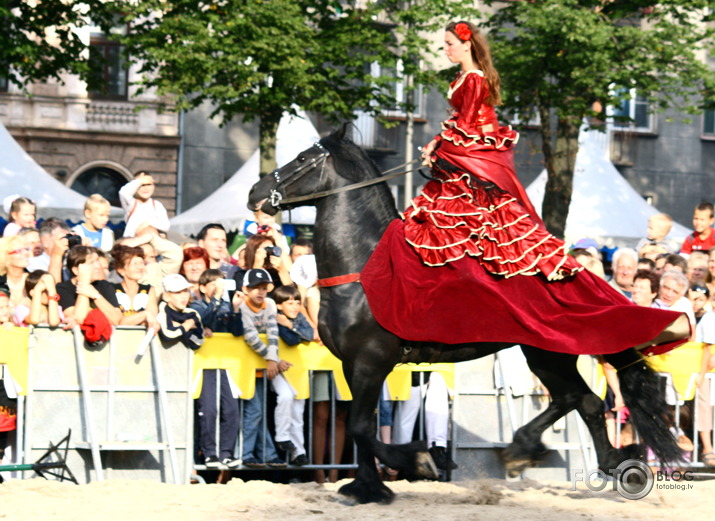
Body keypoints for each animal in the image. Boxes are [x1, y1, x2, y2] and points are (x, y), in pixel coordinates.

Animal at [249, 126, 684, 504]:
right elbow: (361, 427)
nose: (256, 192)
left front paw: (415, 462)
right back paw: (599, 462)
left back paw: (534, 451)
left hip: (549, 354)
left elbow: (359, 426)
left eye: (302, 159)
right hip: (546, 356)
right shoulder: (351, 365)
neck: (362, 271)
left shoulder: (372, 362)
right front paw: (367, 486)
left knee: (579, 400)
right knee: (585, 402)